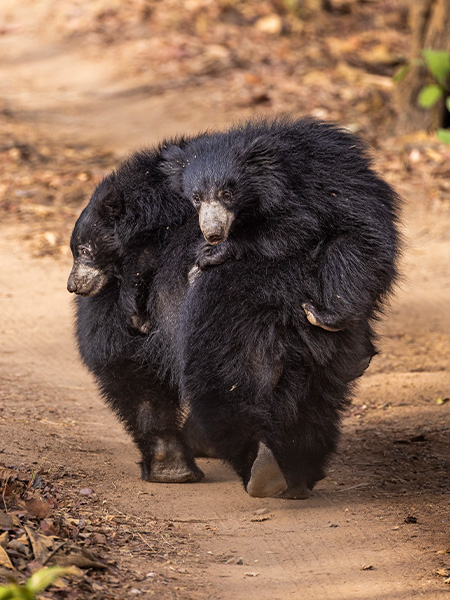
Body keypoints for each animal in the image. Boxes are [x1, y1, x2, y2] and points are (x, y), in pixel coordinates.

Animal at [159, 117, 400, 496]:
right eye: (196, 197)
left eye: (227, 193)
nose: (212, 233)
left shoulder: (303, 195)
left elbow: (293, 229)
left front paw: (212, 254)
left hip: (365, 238)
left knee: (346, 262)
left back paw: (327, 315)